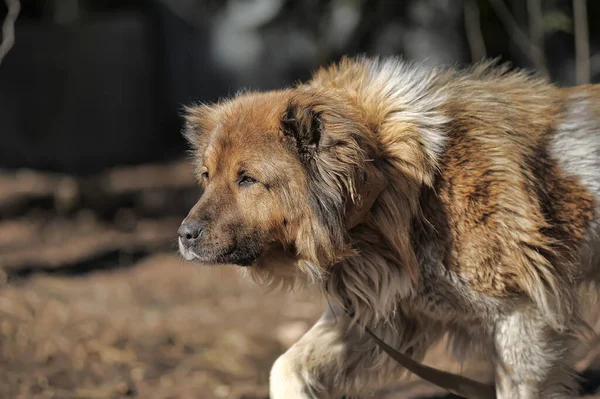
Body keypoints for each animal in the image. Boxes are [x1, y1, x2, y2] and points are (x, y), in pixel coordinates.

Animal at [178, 57, 600, 399]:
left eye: (247, 179)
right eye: (207, 176)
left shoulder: (522, 318)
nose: (183, 235)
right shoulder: (388, 313)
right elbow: (286, 367)